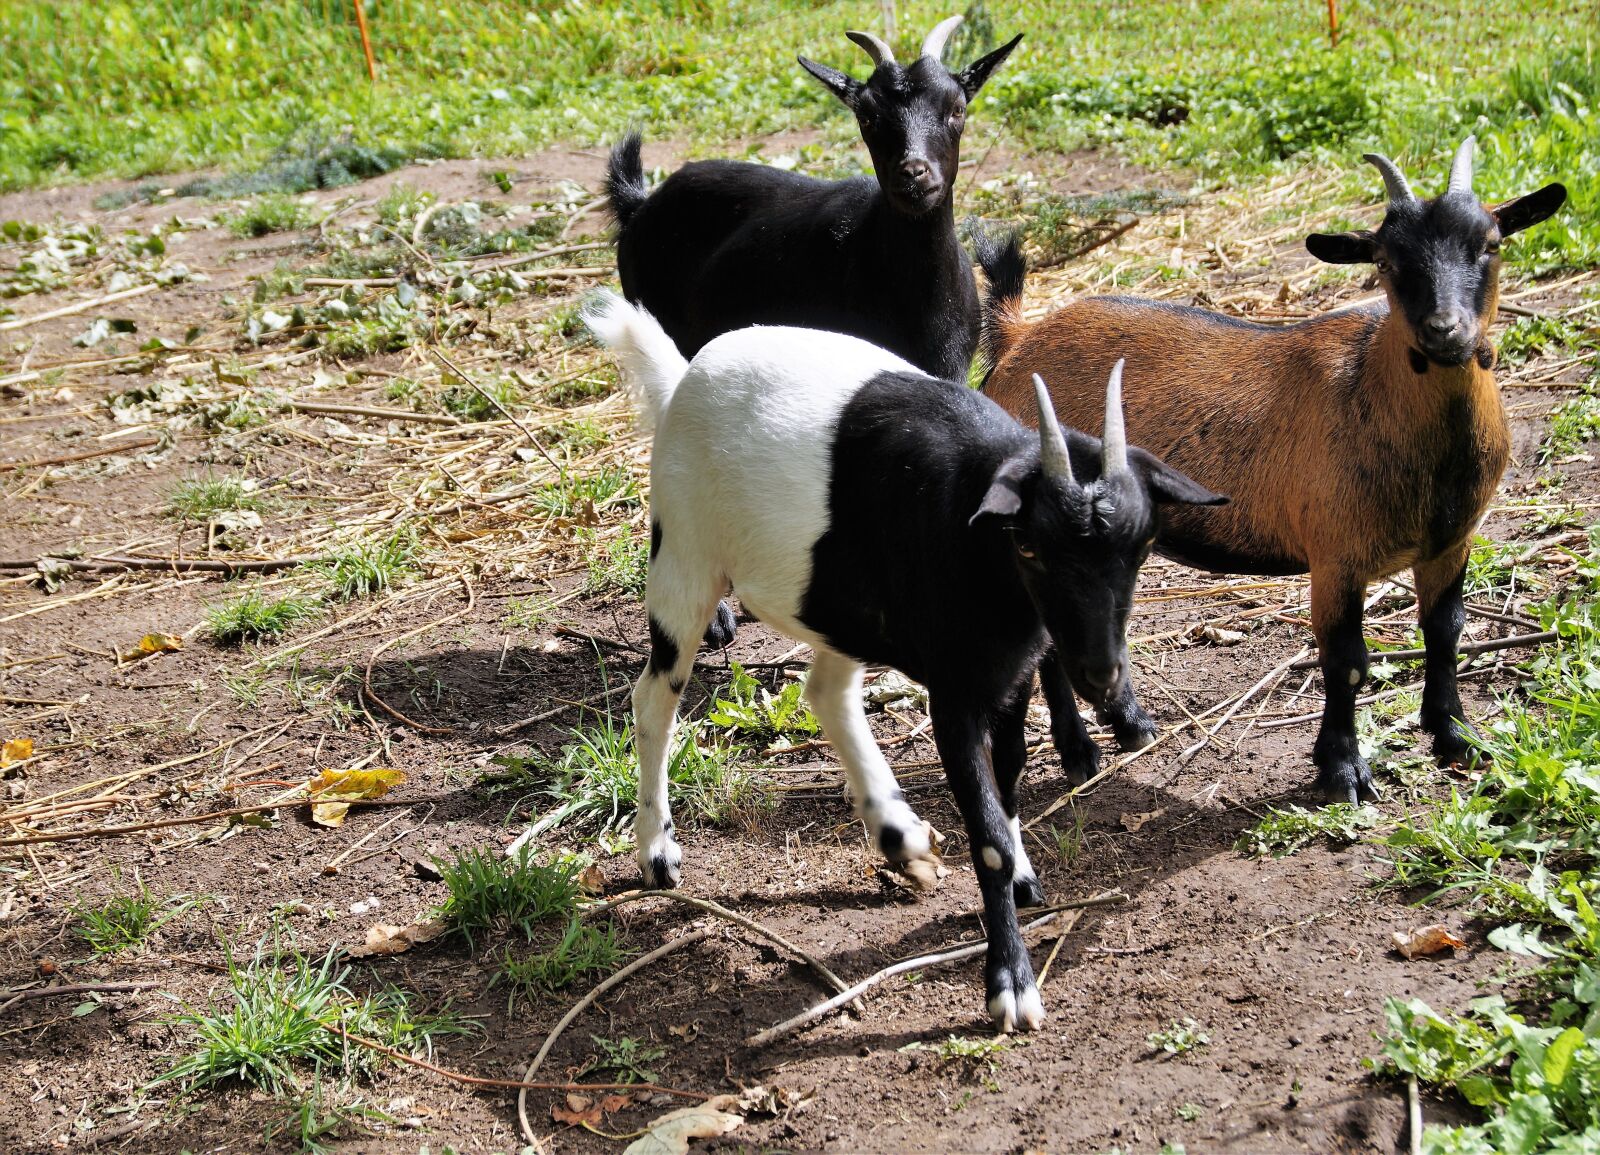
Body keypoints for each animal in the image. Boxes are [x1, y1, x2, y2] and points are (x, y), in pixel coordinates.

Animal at [584, 291, 1223, 1031]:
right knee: (655, 697)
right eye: (1030, 546)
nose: (1099, 672)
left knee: (826, 693)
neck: (975, 530)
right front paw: (1010, 985)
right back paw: (657, 851)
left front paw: (1017, 877)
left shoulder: (1008, 674)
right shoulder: (955, 691)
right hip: (684, 557)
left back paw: (899, 835)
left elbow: (1007, 785)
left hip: (835, 607)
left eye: (1143, 543)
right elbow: (987, 836)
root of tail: (684, 376)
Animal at [979, 138, 1567, 802]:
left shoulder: (1450, 543)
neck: (1371, 384)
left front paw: (1456, 738)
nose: (1445, 332)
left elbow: (1445, 632)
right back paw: (1080, 752)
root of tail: (1017, 339)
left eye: (1490, 243)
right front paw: (1342, 772)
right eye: (1386, 259)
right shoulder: (1337, 556)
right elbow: (1347, 662)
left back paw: (1128, 727)